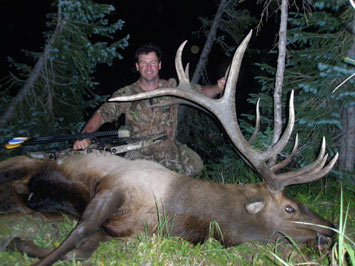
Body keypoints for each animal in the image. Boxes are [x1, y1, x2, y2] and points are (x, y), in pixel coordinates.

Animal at [0, 30, 340, 264]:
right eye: (290, 207)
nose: (333, 229)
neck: (174, 214)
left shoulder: (117, 230)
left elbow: (80, 249)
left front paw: (19, 243)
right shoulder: (116, 186)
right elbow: (77, 236)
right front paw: (23, 247)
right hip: (18, 163)